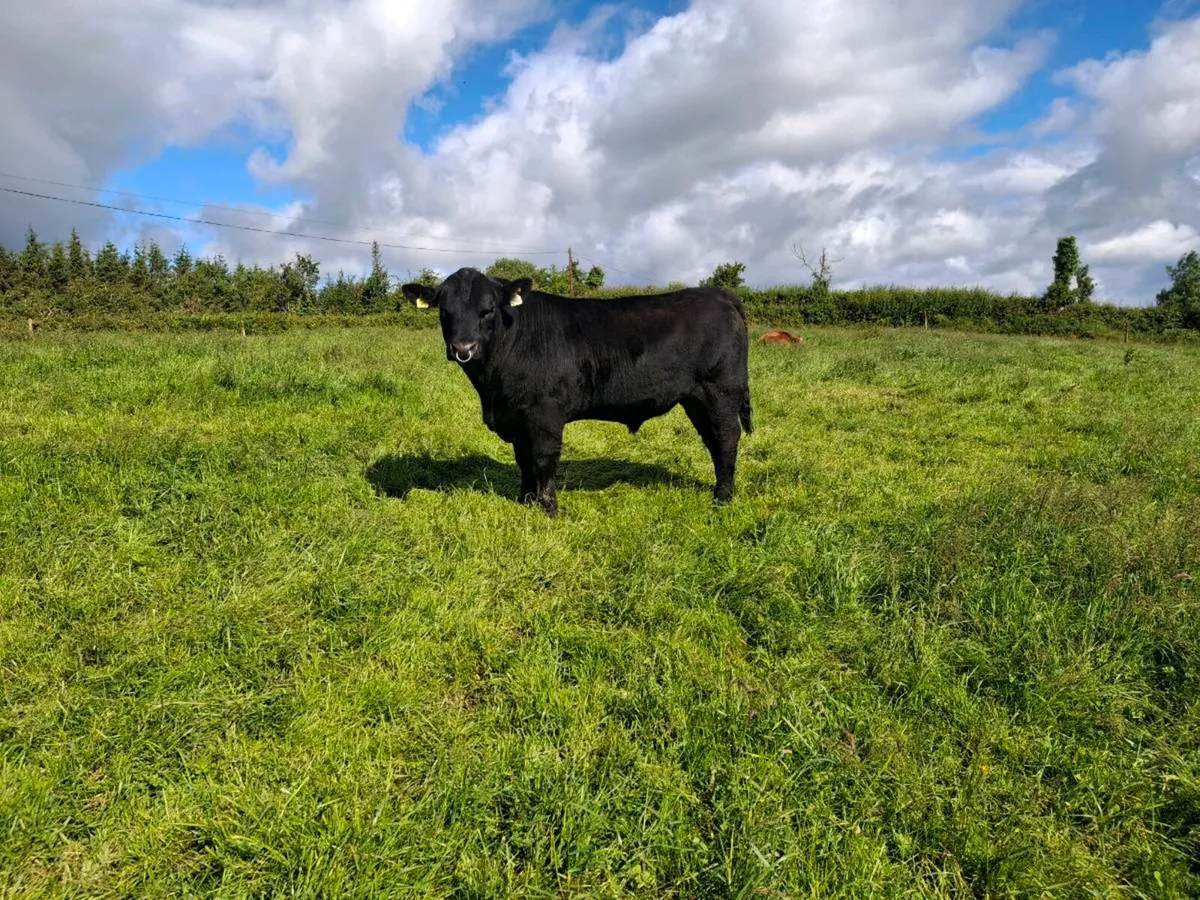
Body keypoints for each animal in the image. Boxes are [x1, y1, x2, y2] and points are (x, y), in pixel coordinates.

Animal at [401, 268, 752, 517]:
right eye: (444, 311)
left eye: (488, 310)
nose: (464, 348)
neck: (492, 389)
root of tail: (718, 294)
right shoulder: (516, 417)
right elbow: (523, 460)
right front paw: (524, 501)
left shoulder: (545, 413)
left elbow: (543, 460)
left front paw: (549, 508)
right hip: (696, 398)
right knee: (712, 439)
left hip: (720, 390)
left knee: (725, 438)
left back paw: (722, 498)